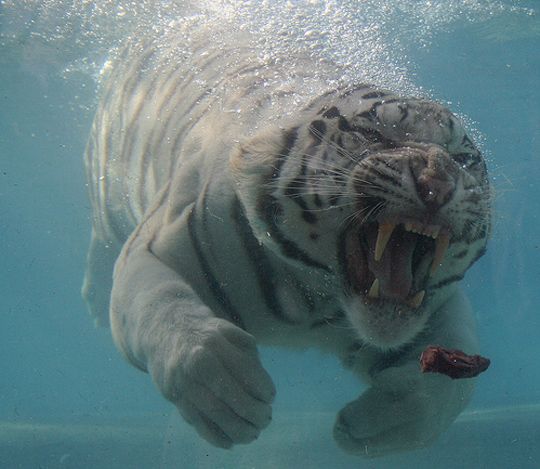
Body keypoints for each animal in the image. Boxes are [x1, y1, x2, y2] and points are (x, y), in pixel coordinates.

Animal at [82, 16, 492, 456]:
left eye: (464, 159)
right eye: (377, 135)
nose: (439, 181)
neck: (313, 294)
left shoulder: (439, 307)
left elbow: (451, 386)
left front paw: (370, 424)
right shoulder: (153, 247)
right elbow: (163, 309)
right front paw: (227, 393)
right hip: (106, 184)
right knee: (101, 236)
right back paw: (93, 298)